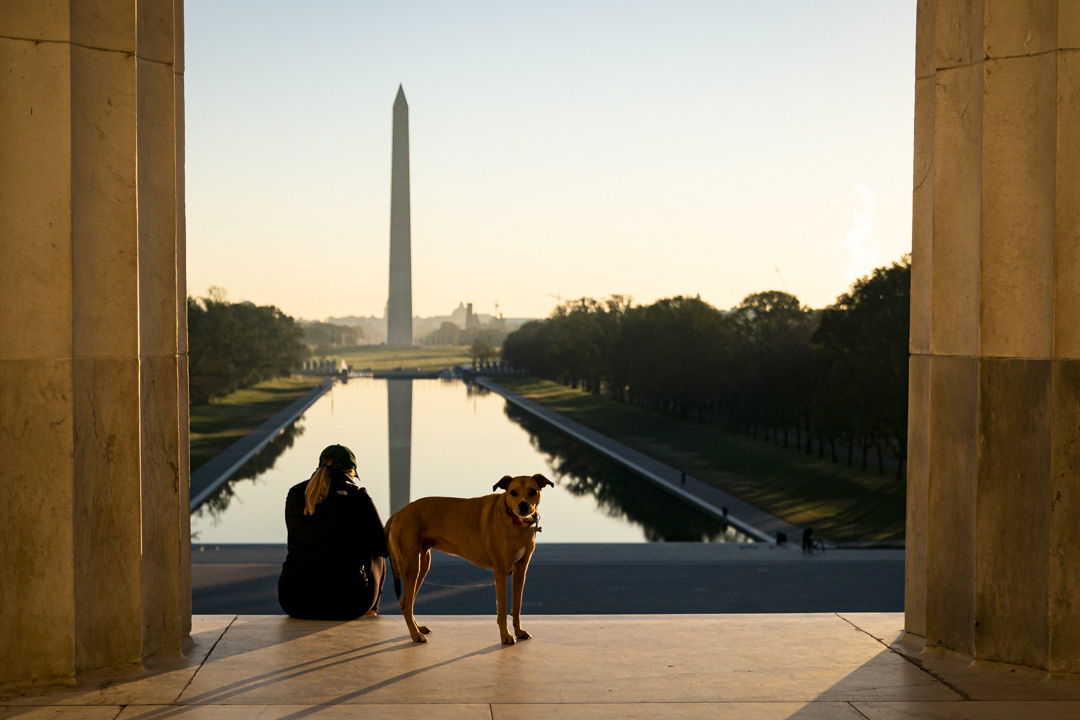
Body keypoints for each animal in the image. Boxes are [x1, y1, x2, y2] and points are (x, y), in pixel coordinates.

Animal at [384, 474, 552, 643]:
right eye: (513, 492)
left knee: (406, 601)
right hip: (412, 567)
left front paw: (519, 631)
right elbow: (502, 611)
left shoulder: (520, 571)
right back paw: (415, 634)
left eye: (532, 491)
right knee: (406, 605)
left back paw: (418, 628)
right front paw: (505, 636)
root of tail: (397, 514)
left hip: (422, 566)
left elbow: (516, 607)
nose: (523, 505)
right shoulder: (501, 572)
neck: (514, 522)